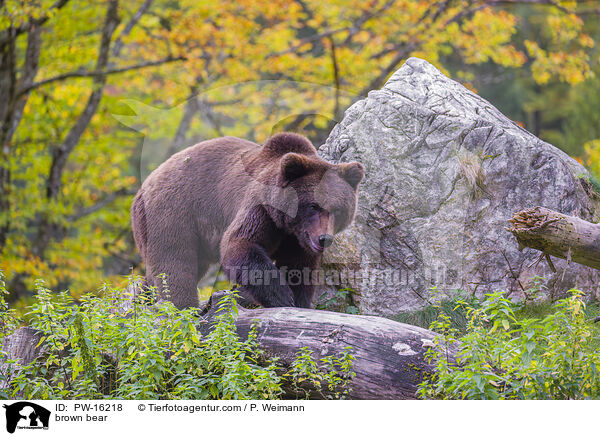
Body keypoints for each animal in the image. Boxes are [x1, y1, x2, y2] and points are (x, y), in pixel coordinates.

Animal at [131, 133, 364, 310]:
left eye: (338, 210)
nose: (324, 238)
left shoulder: (297, 240)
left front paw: (299, 301)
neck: (287, 224)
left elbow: (299, 267)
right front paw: (281, 296)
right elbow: (240, 245)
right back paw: (182, 310)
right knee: (174, 265)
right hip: (172, 213)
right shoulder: (259, 209)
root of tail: (145, 184)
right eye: (313, 206)